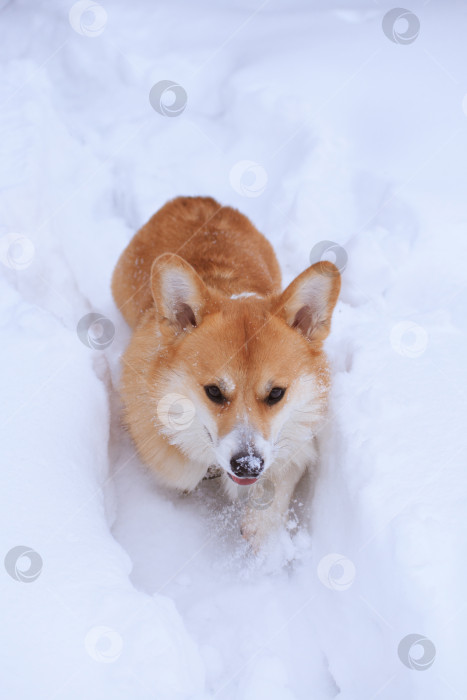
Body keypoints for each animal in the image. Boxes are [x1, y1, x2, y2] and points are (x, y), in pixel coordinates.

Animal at [112, 196, 340, 548]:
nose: (247, 466)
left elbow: (282, 475)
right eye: (214, 392)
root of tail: (196, 199)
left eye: (276, 393)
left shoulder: (299, 440)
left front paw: (261, 525)